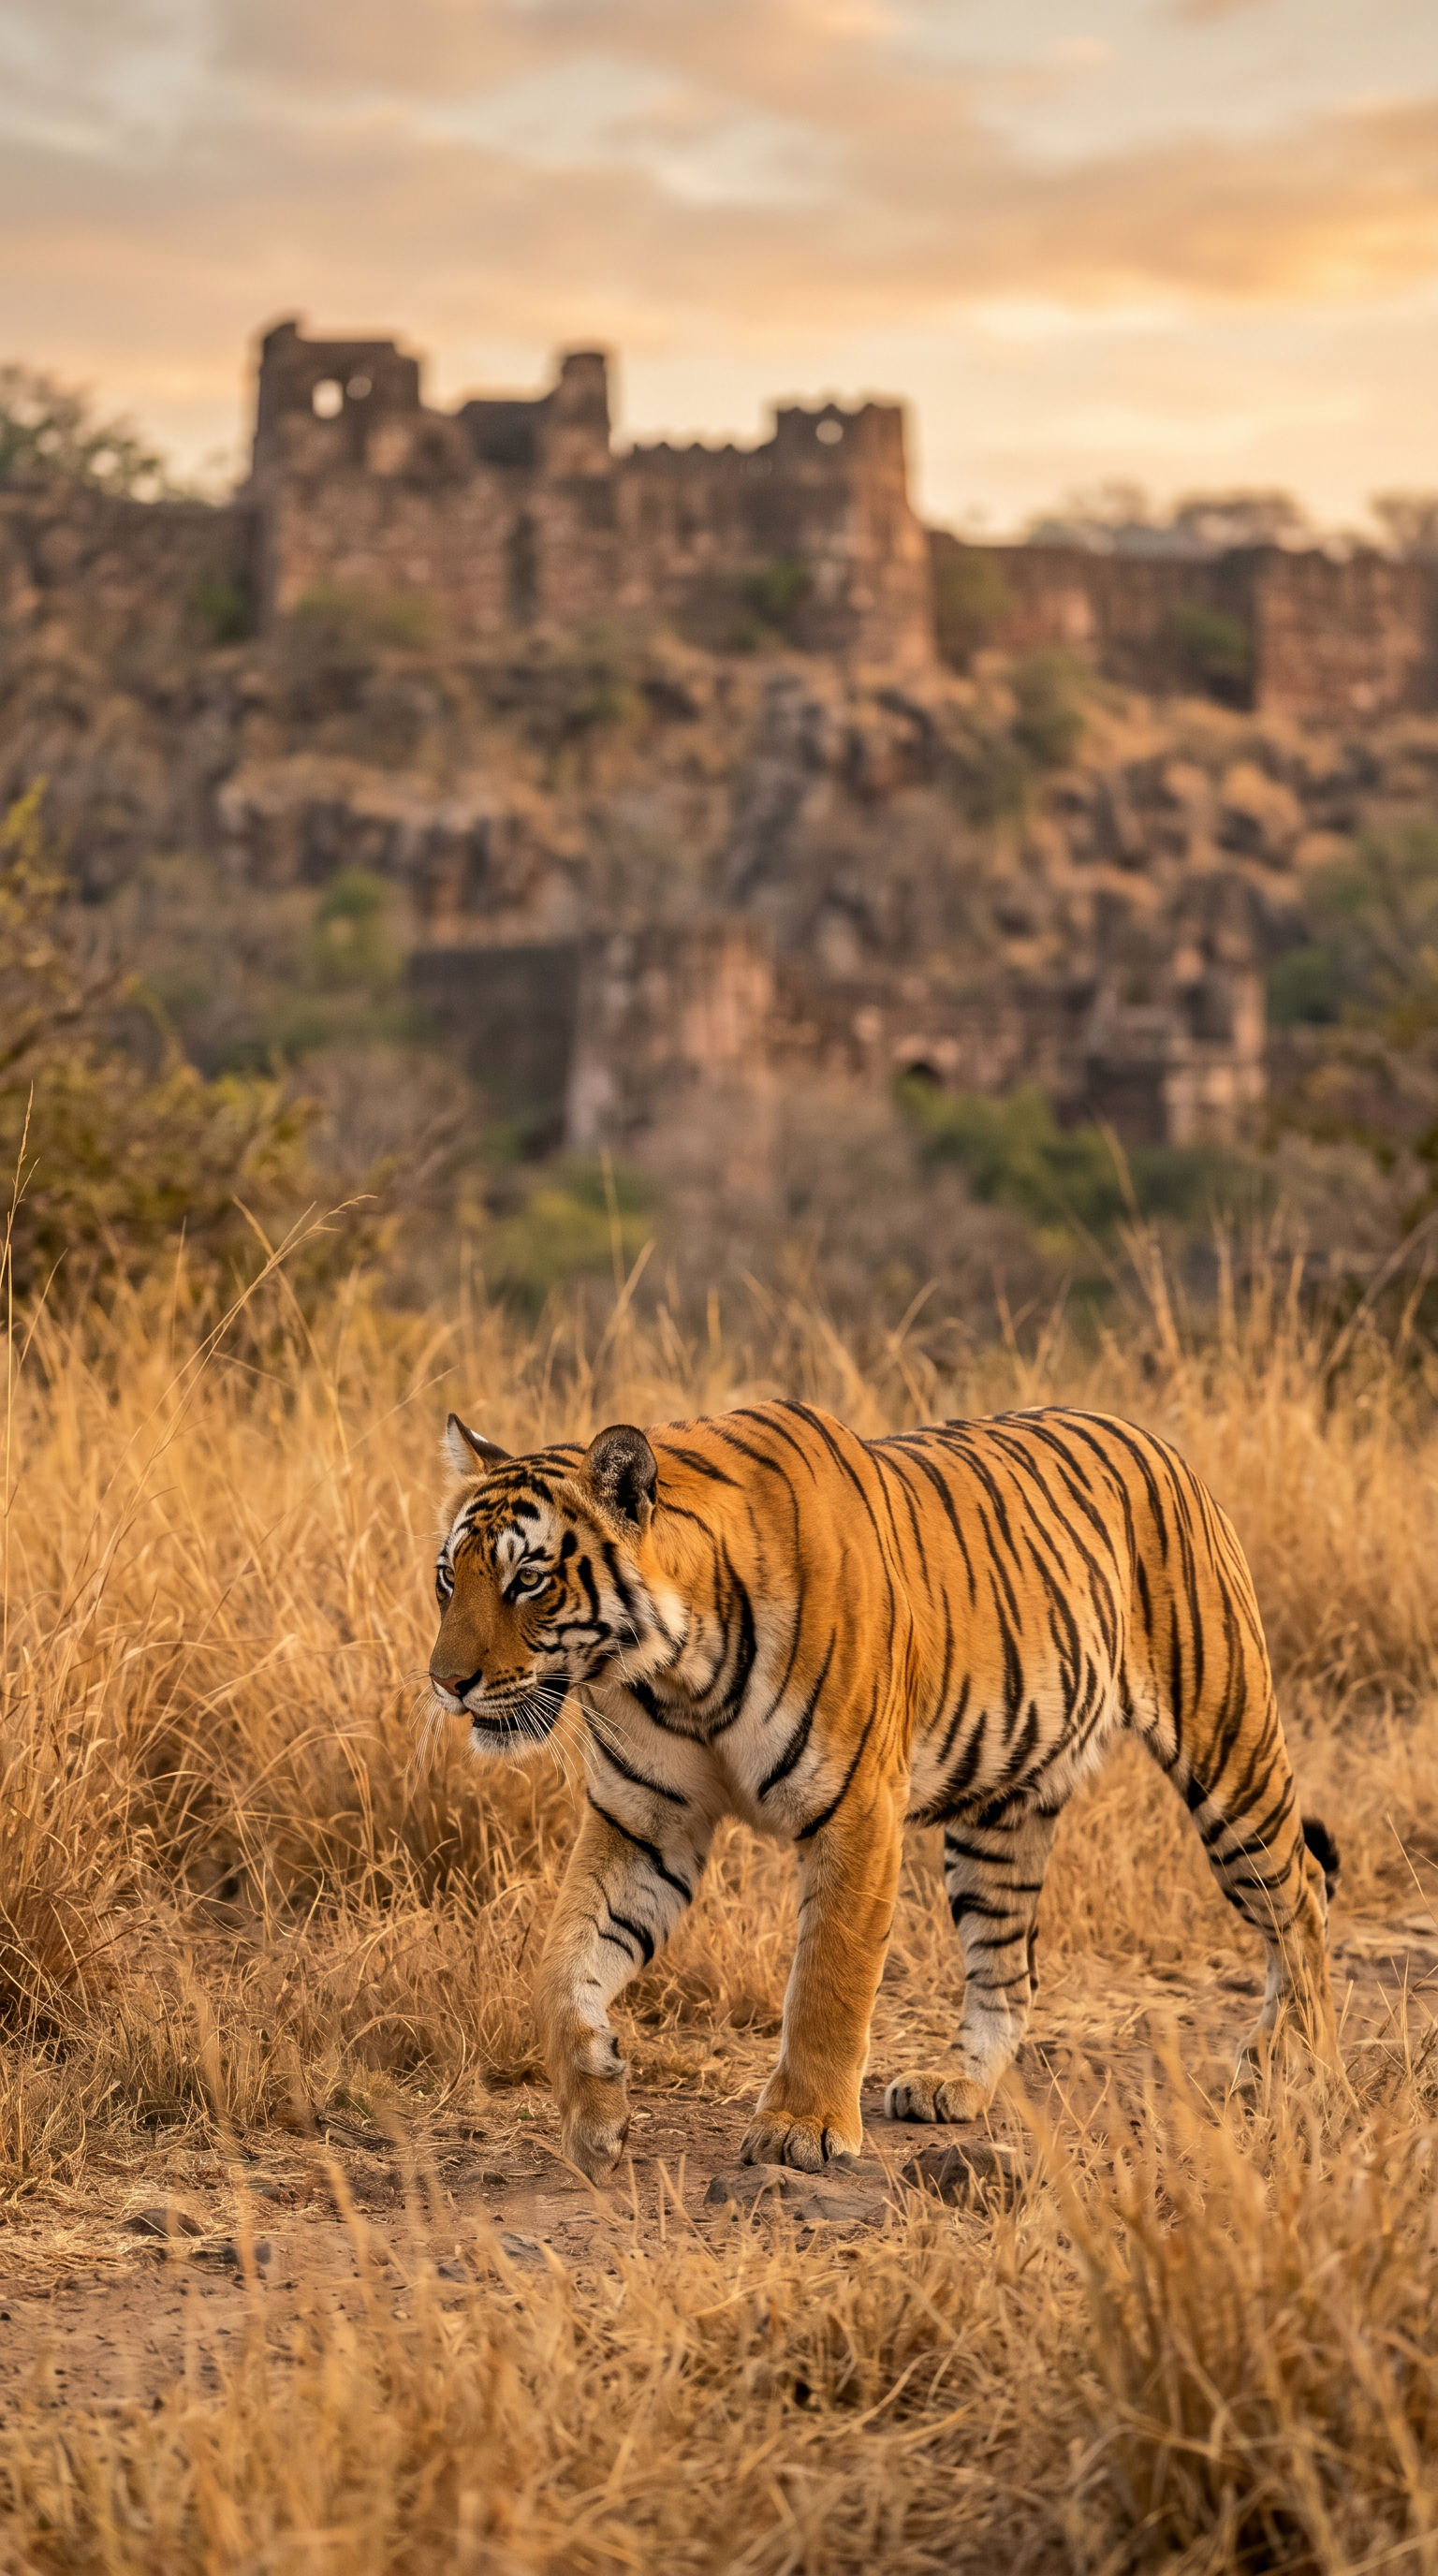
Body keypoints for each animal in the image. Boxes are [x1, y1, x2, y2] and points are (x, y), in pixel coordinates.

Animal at [427, 1398, 1342, 2180]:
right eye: (447, 1577)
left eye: (527, 1580)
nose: (446, 1683)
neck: (674, 1672)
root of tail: (1154, 1438)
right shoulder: (644, 1821)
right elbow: (563, 1963)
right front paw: (595, 2113)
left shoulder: (856, 1807)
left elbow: (828, 1979)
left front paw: (801, 2130)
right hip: (1000, 1816)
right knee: (1007, 1968)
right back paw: (956, 2088)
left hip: (1228, 1746)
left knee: (1297, 1894)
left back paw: (1300, 2061)